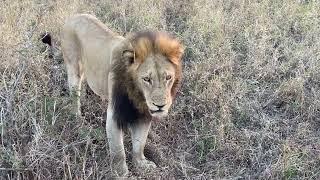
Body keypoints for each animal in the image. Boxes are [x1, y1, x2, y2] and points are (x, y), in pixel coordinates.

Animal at [58, 13, 182, 176]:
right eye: (146, 79)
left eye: (168, 77)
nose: (160, 106)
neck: (137, 96)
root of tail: (74, 16)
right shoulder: (114, 114)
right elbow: (118, 151)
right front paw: (121, 173)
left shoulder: (143, 115)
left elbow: (139, 144)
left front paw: (141, 164)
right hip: (73, 68)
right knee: (75, 95)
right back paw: (78, 120)